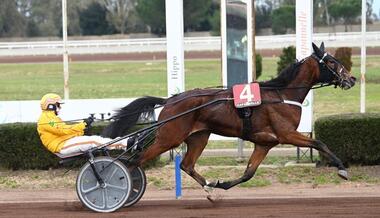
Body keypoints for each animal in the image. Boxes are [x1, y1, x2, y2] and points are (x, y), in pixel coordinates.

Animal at [101, 43, 356, 192]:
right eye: (331, 62)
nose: (351, 79)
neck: (282, 95)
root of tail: (170, 100)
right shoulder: (286, 134)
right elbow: (319, 142)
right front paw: (342, 169)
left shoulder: (265, 143)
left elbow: (248, 173)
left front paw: (222, 184)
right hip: (169, 137)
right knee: (135, 160)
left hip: (198, 137)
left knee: (186, 164)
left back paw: (209, 187)